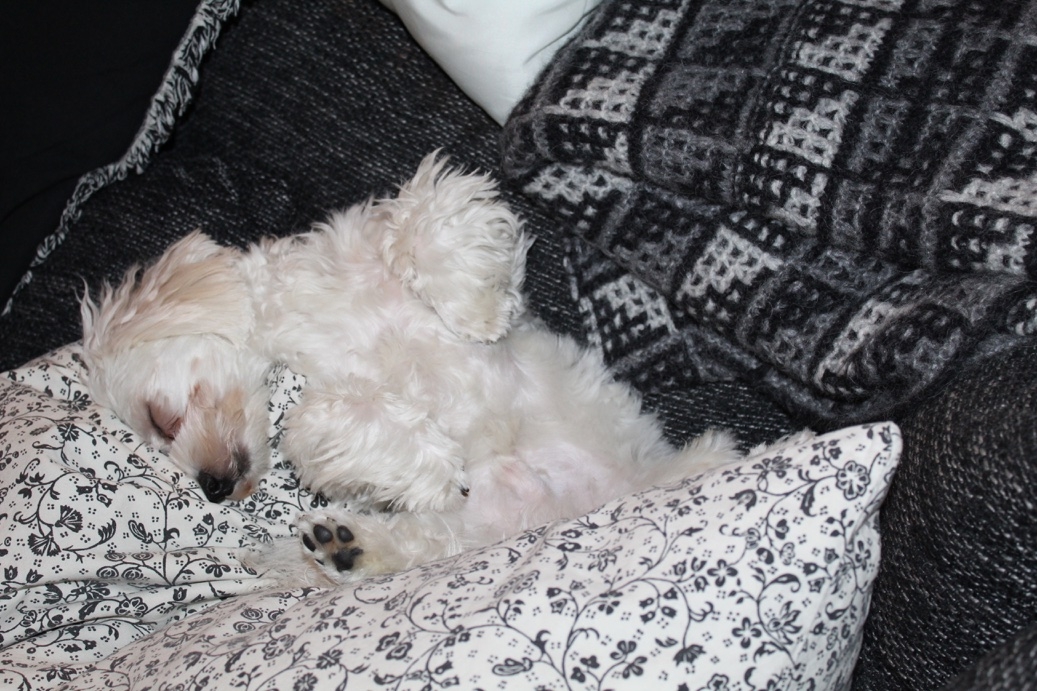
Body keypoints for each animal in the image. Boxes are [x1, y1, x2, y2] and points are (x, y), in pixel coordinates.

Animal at [80, 153, 743, 585]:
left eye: (160, 419)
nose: (213, 489)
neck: (310, 314)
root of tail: (571, 513)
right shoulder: (333, 396)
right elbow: (320, 417)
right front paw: (435, 470)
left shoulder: (410, 218)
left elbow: (424, 227)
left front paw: (478, 315)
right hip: (473, 530)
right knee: (416, 543)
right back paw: (346, 547)